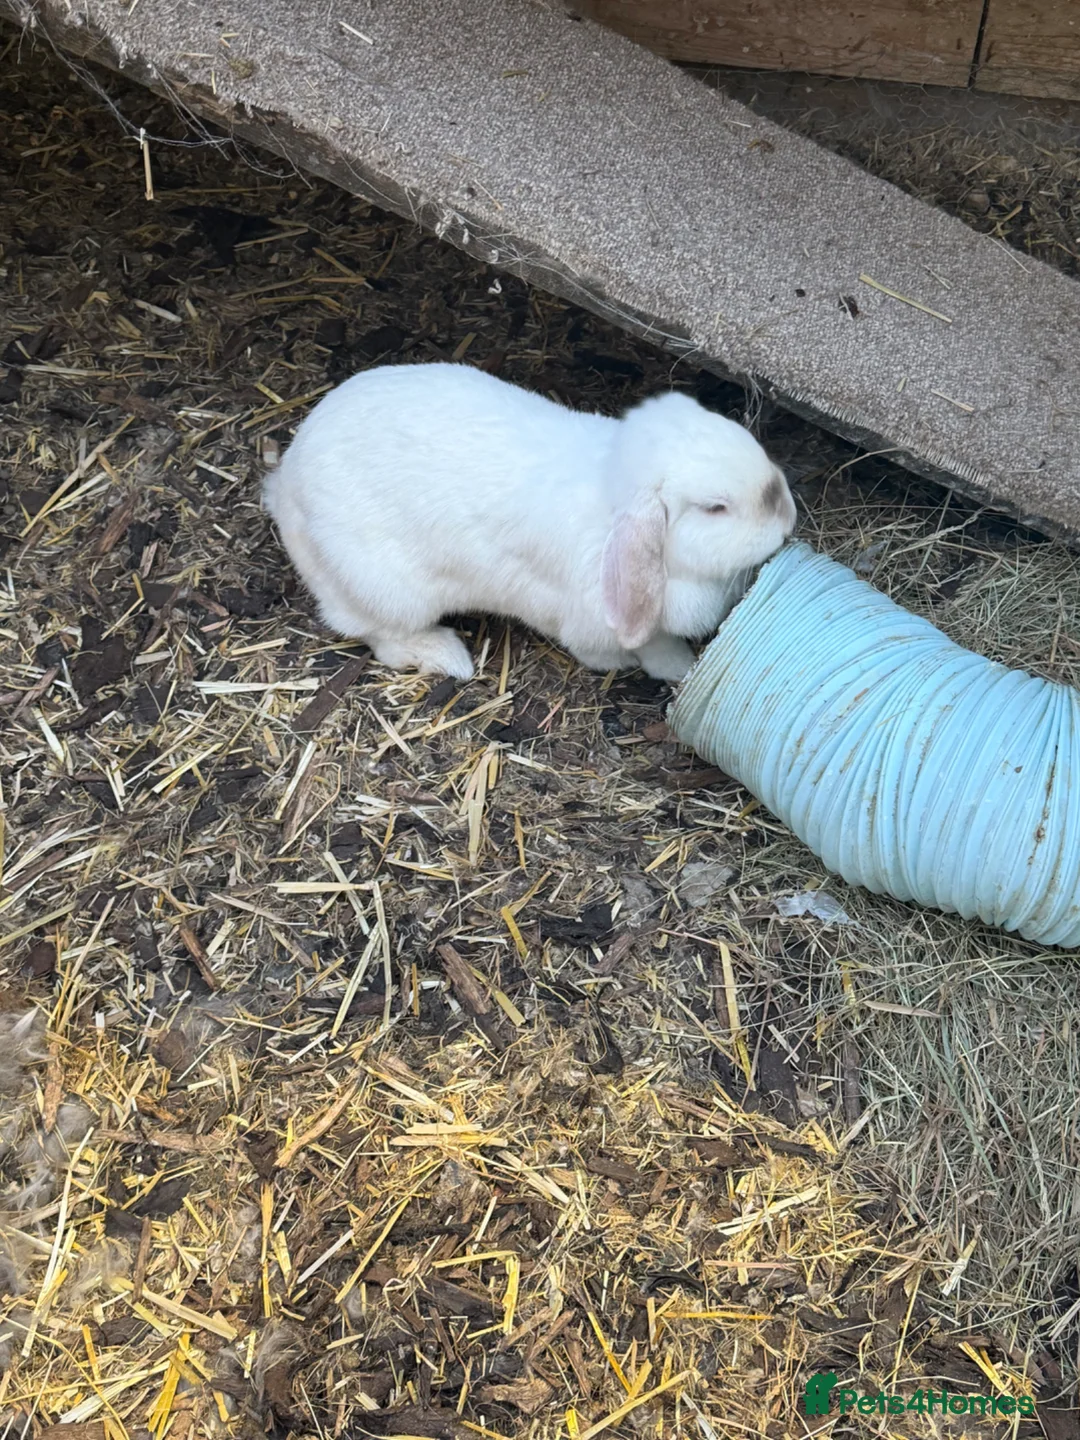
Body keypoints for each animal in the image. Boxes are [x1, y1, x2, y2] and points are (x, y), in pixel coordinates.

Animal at [262, 362, 796, 684]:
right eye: (714, 508)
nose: (787, 515)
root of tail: (285, 486)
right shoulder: (598, 623)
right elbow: (638, 650)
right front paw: (677, 669)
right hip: (387, 591)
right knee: (379, 637)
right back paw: (447, 656)